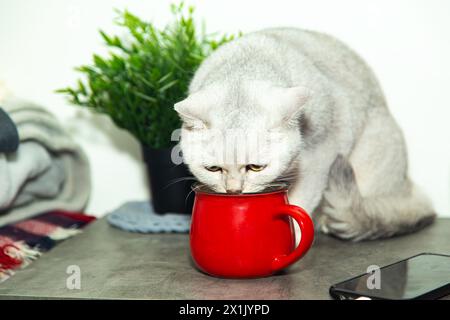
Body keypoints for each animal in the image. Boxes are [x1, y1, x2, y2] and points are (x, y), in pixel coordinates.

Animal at [175, 28, 436, 241]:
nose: (233, 191)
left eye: (256, 167)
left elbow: (299, 205)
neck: (245, 68)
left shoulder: (320, 157)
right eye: (213, 169)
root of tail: (407, 186)